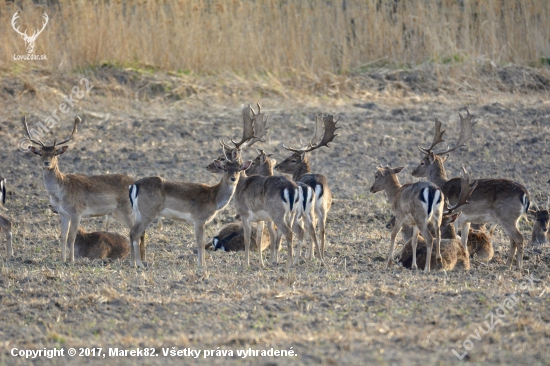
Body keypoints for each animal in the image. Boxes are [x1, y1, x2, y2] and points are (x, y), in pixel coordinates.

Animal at [23, 117, 144, 264]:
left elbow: (72, 237)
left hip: (126, 209)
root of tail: (136, 183)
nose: (46, 163)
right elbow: (63, 237)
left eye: (55, 153)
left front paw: (71, 261)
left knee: (136, 231)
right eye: (40, 153)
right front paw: (62, 259)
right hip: (118, 212)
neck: (60, 193)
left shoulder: (77, 212)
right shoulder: (63, 214)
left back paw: (138, 261)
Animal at [274, 114, 338, 260]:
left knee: (308, 229)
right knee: (322, 230)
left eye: (292, 159)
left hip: (305, 210)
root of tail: (318, 185)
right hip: (323, 209)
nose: (277, 166)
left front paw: (307, 255)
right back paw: (321, 255)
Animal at [416, 110, 532, 270]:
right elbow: (463, 242)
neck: (443, 185)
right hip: (514, 219)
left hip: (507, 216)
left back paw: (518, 266)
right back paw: (508, 264)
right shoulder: (467, 220)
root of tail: (525, 194)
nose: (413, 172)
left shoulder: (454, 215)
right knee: (513, 239)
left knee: (519, 238)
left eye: (422, 162)